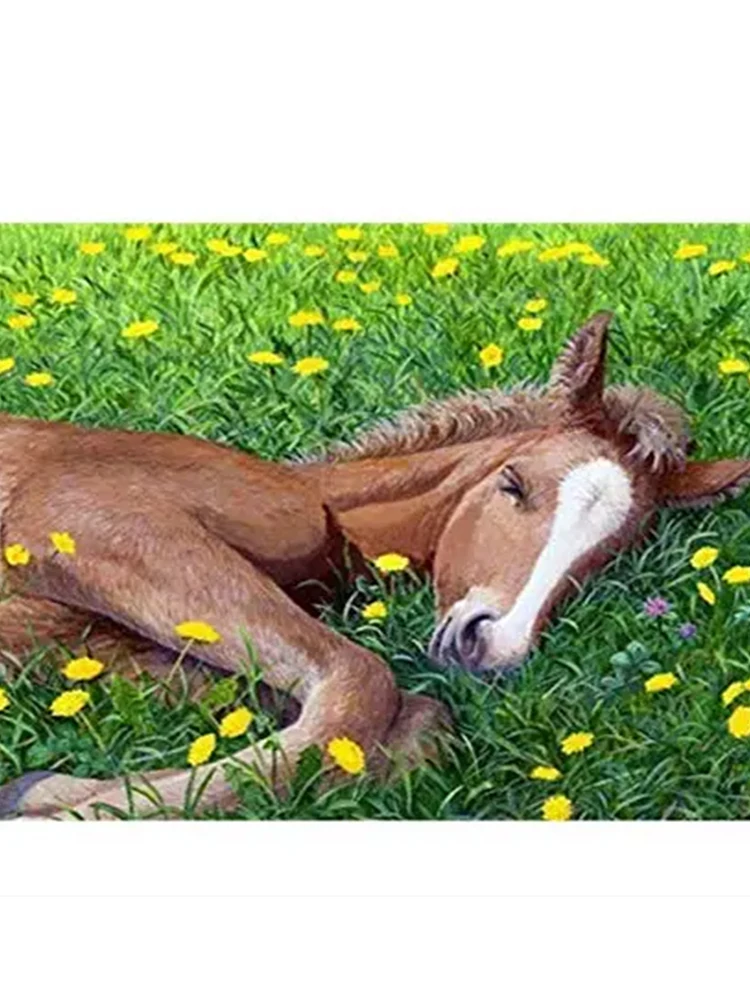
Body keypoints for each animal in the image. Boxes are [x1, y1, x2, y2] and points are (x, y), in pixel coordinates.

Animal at [1, 311, 749, 819]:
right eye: (512, 484)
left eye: (607, 555)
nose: (493, 649)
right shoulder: (104, 526)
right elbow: (364, 682)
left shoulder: (90, 648)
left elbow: (404, 717)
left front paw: (42, 791)